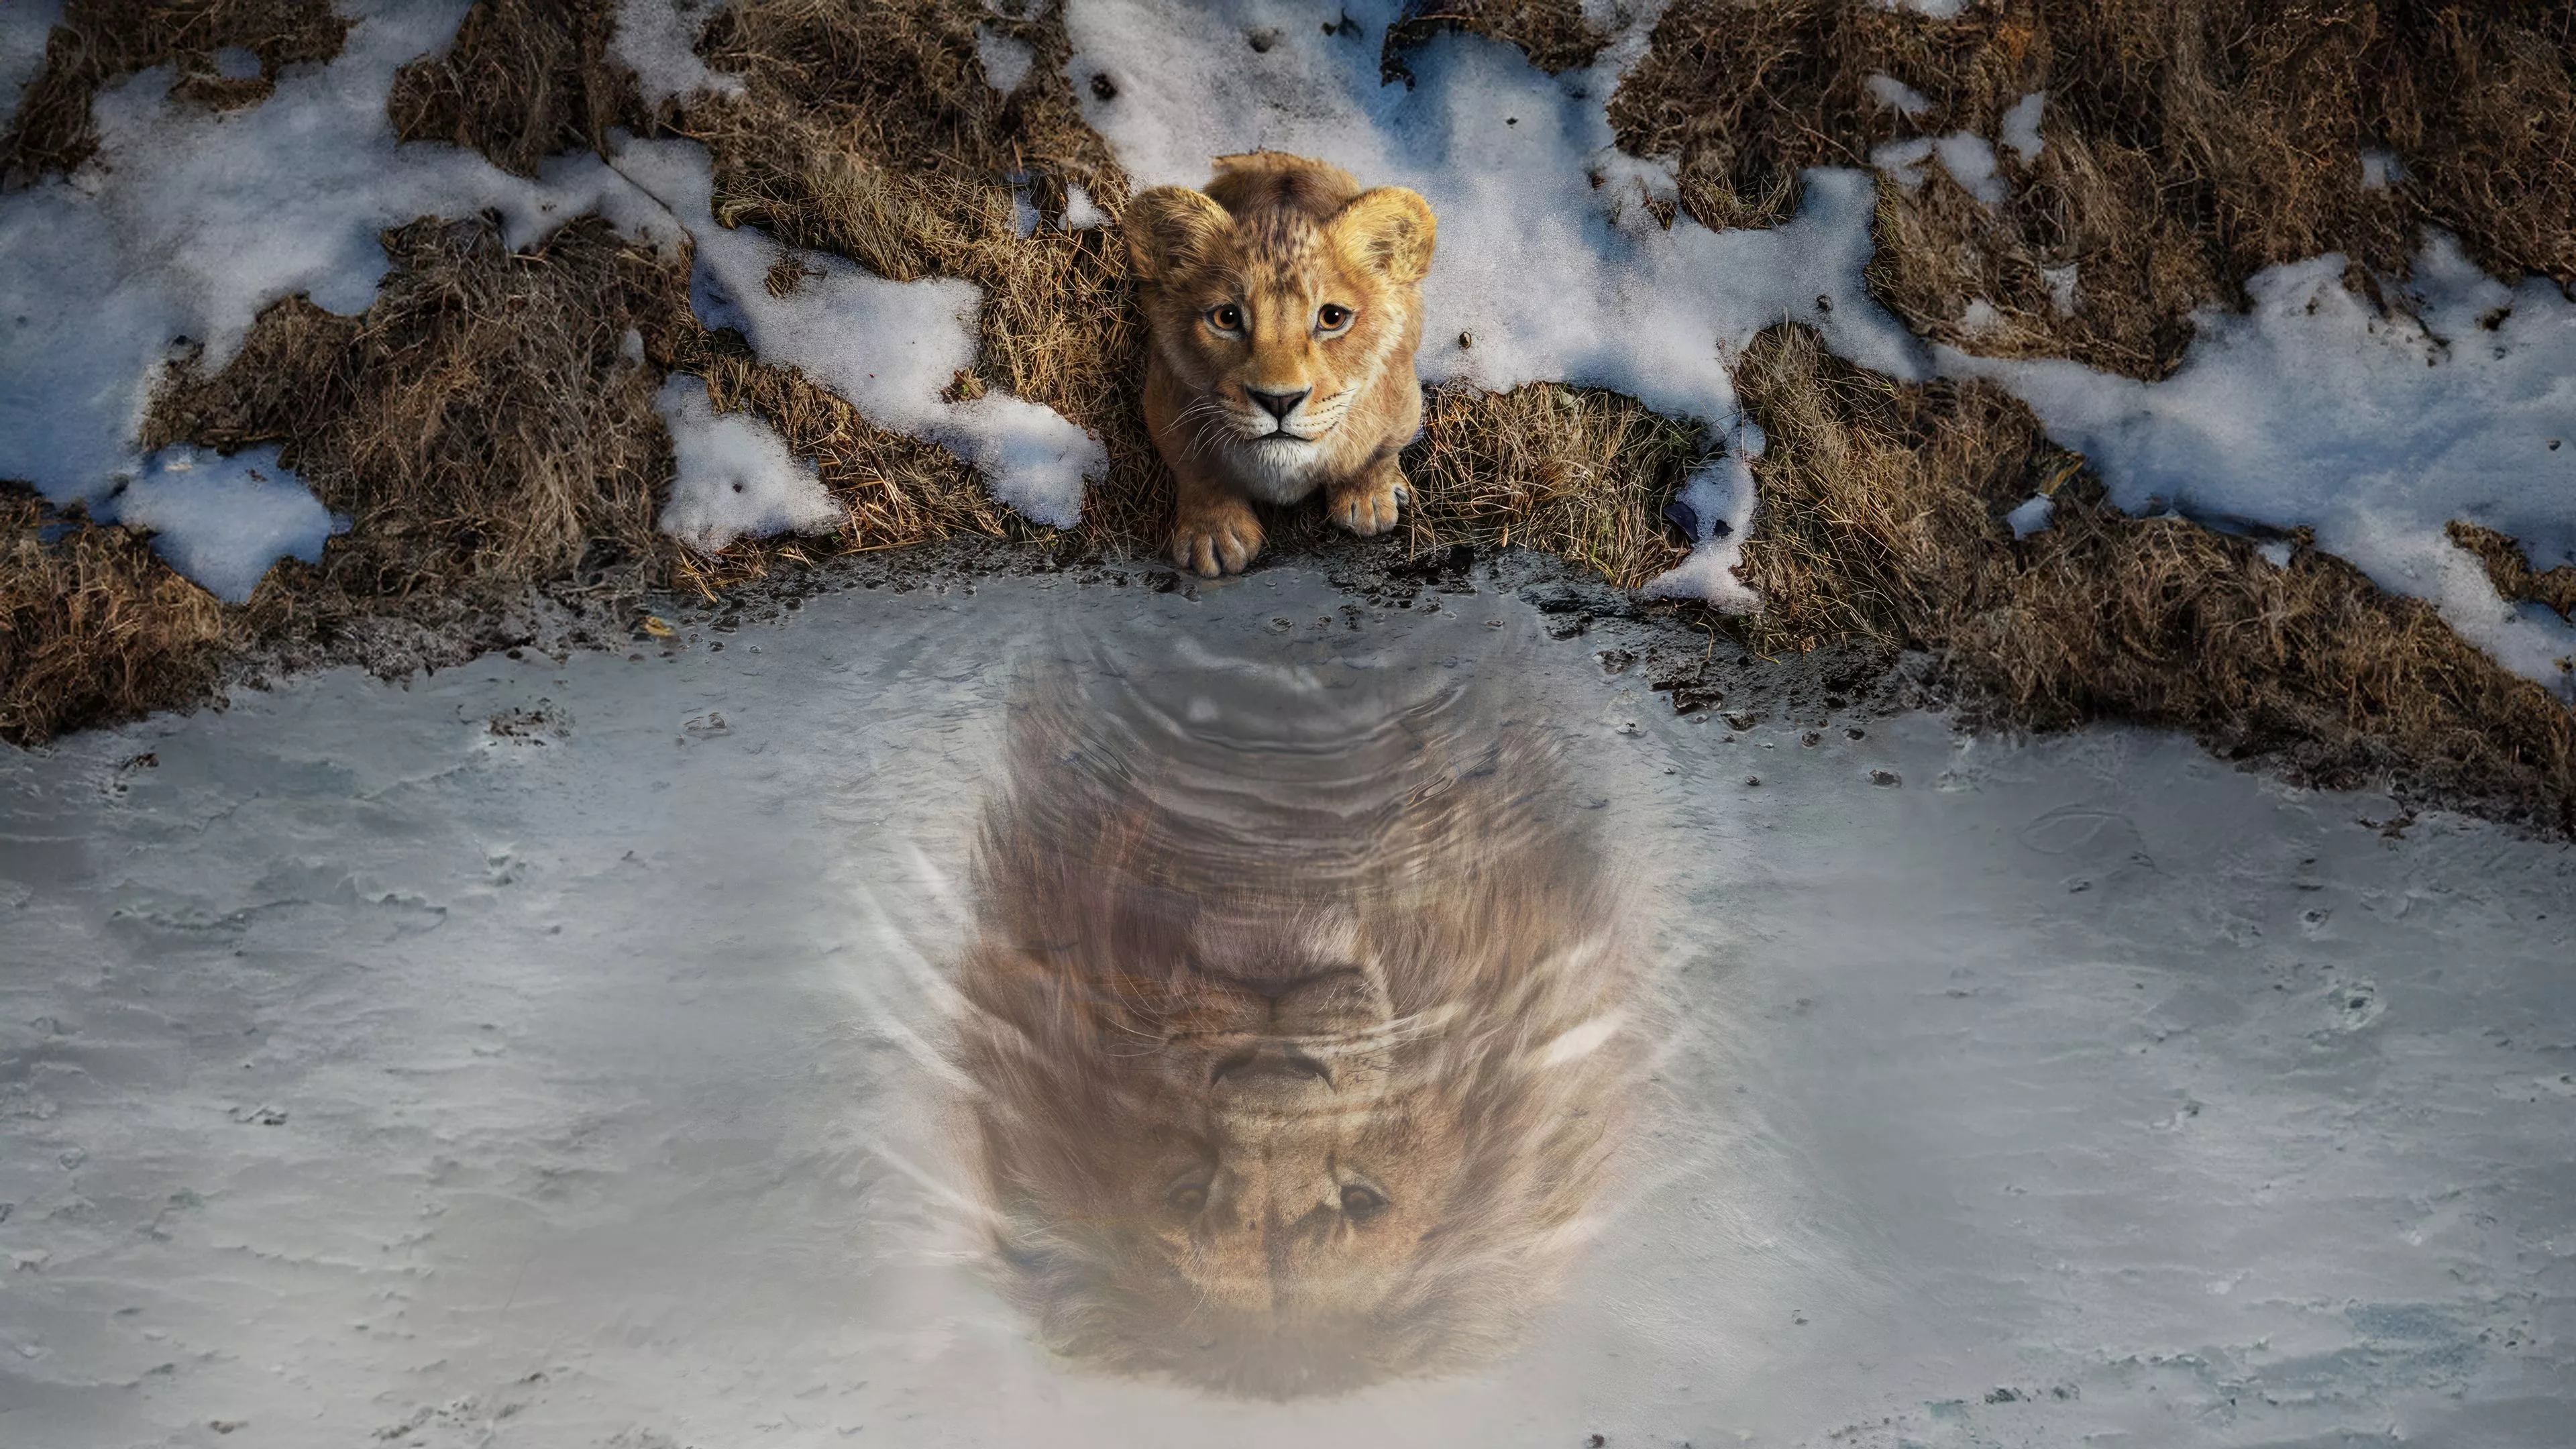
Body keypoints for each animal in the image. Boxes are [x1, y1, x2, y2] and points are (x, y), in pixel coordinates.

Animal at [1125, 152, 1437, 577]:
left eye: (1332, 318)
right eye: (1226, 318)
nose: (1279, 401)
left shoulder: (1403, 399)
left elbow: (1379, 453)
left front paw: (1368, 500)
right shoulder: (1163, 399)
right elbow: (1196, 469)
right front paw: (1215, 534)